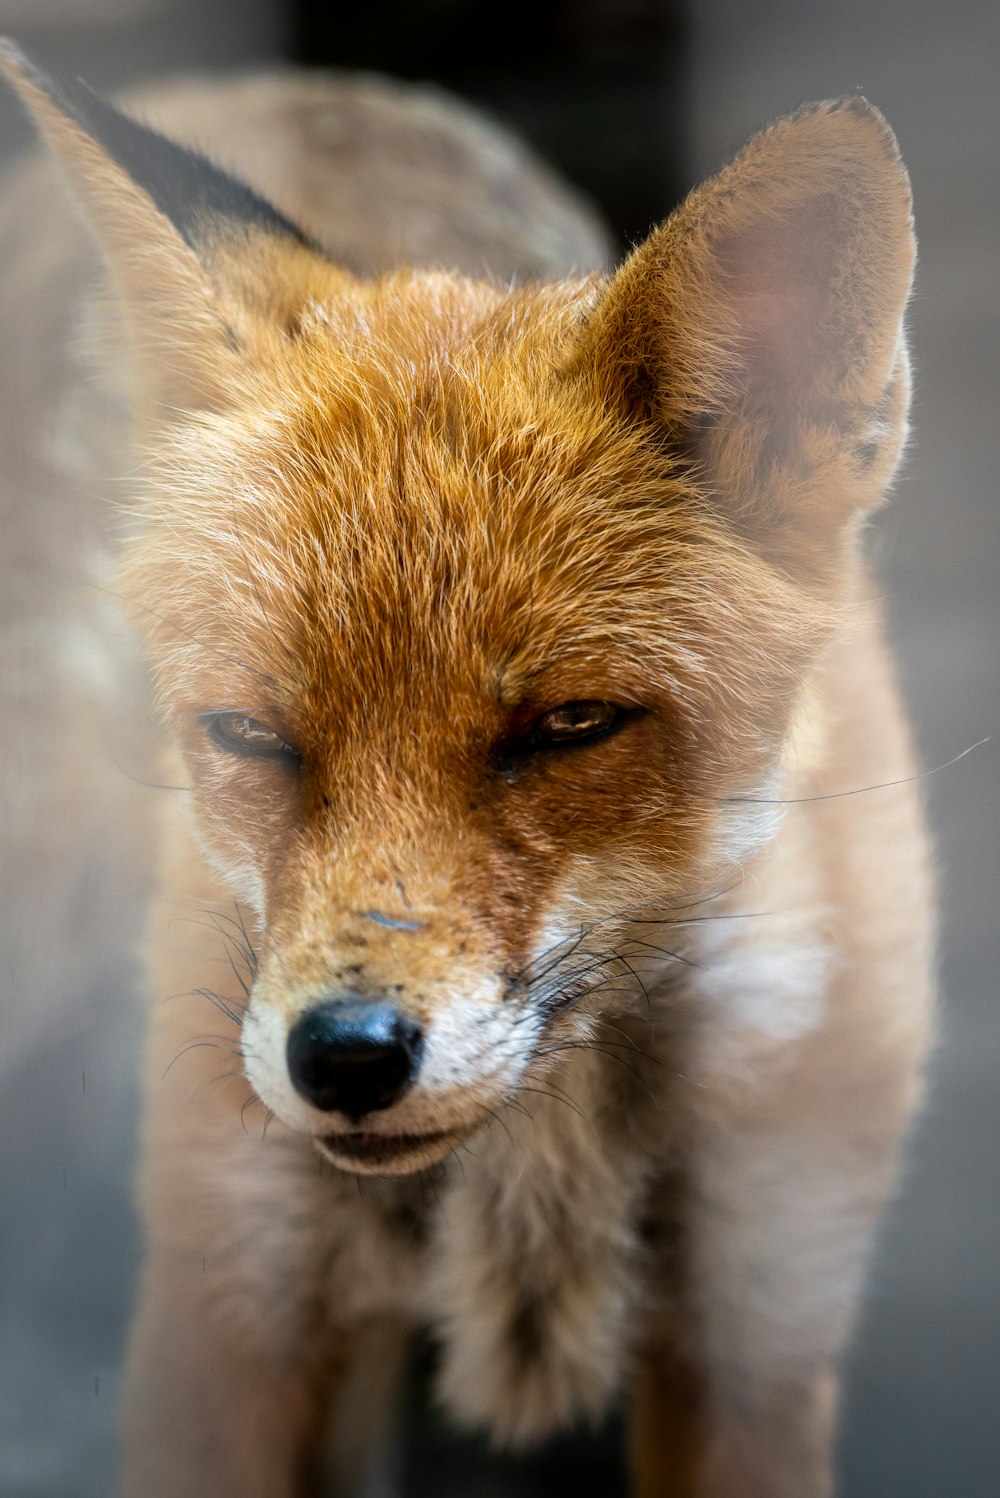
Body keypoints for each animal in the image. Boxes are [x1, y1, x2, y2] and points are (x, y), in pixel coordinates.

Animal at [1, 35, 940, 1498]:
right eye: (251, 733)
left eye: (567, 725)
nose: (342, 1058)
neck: (538, 1163)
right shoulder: (228, 1304)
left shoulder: (760, 1326)